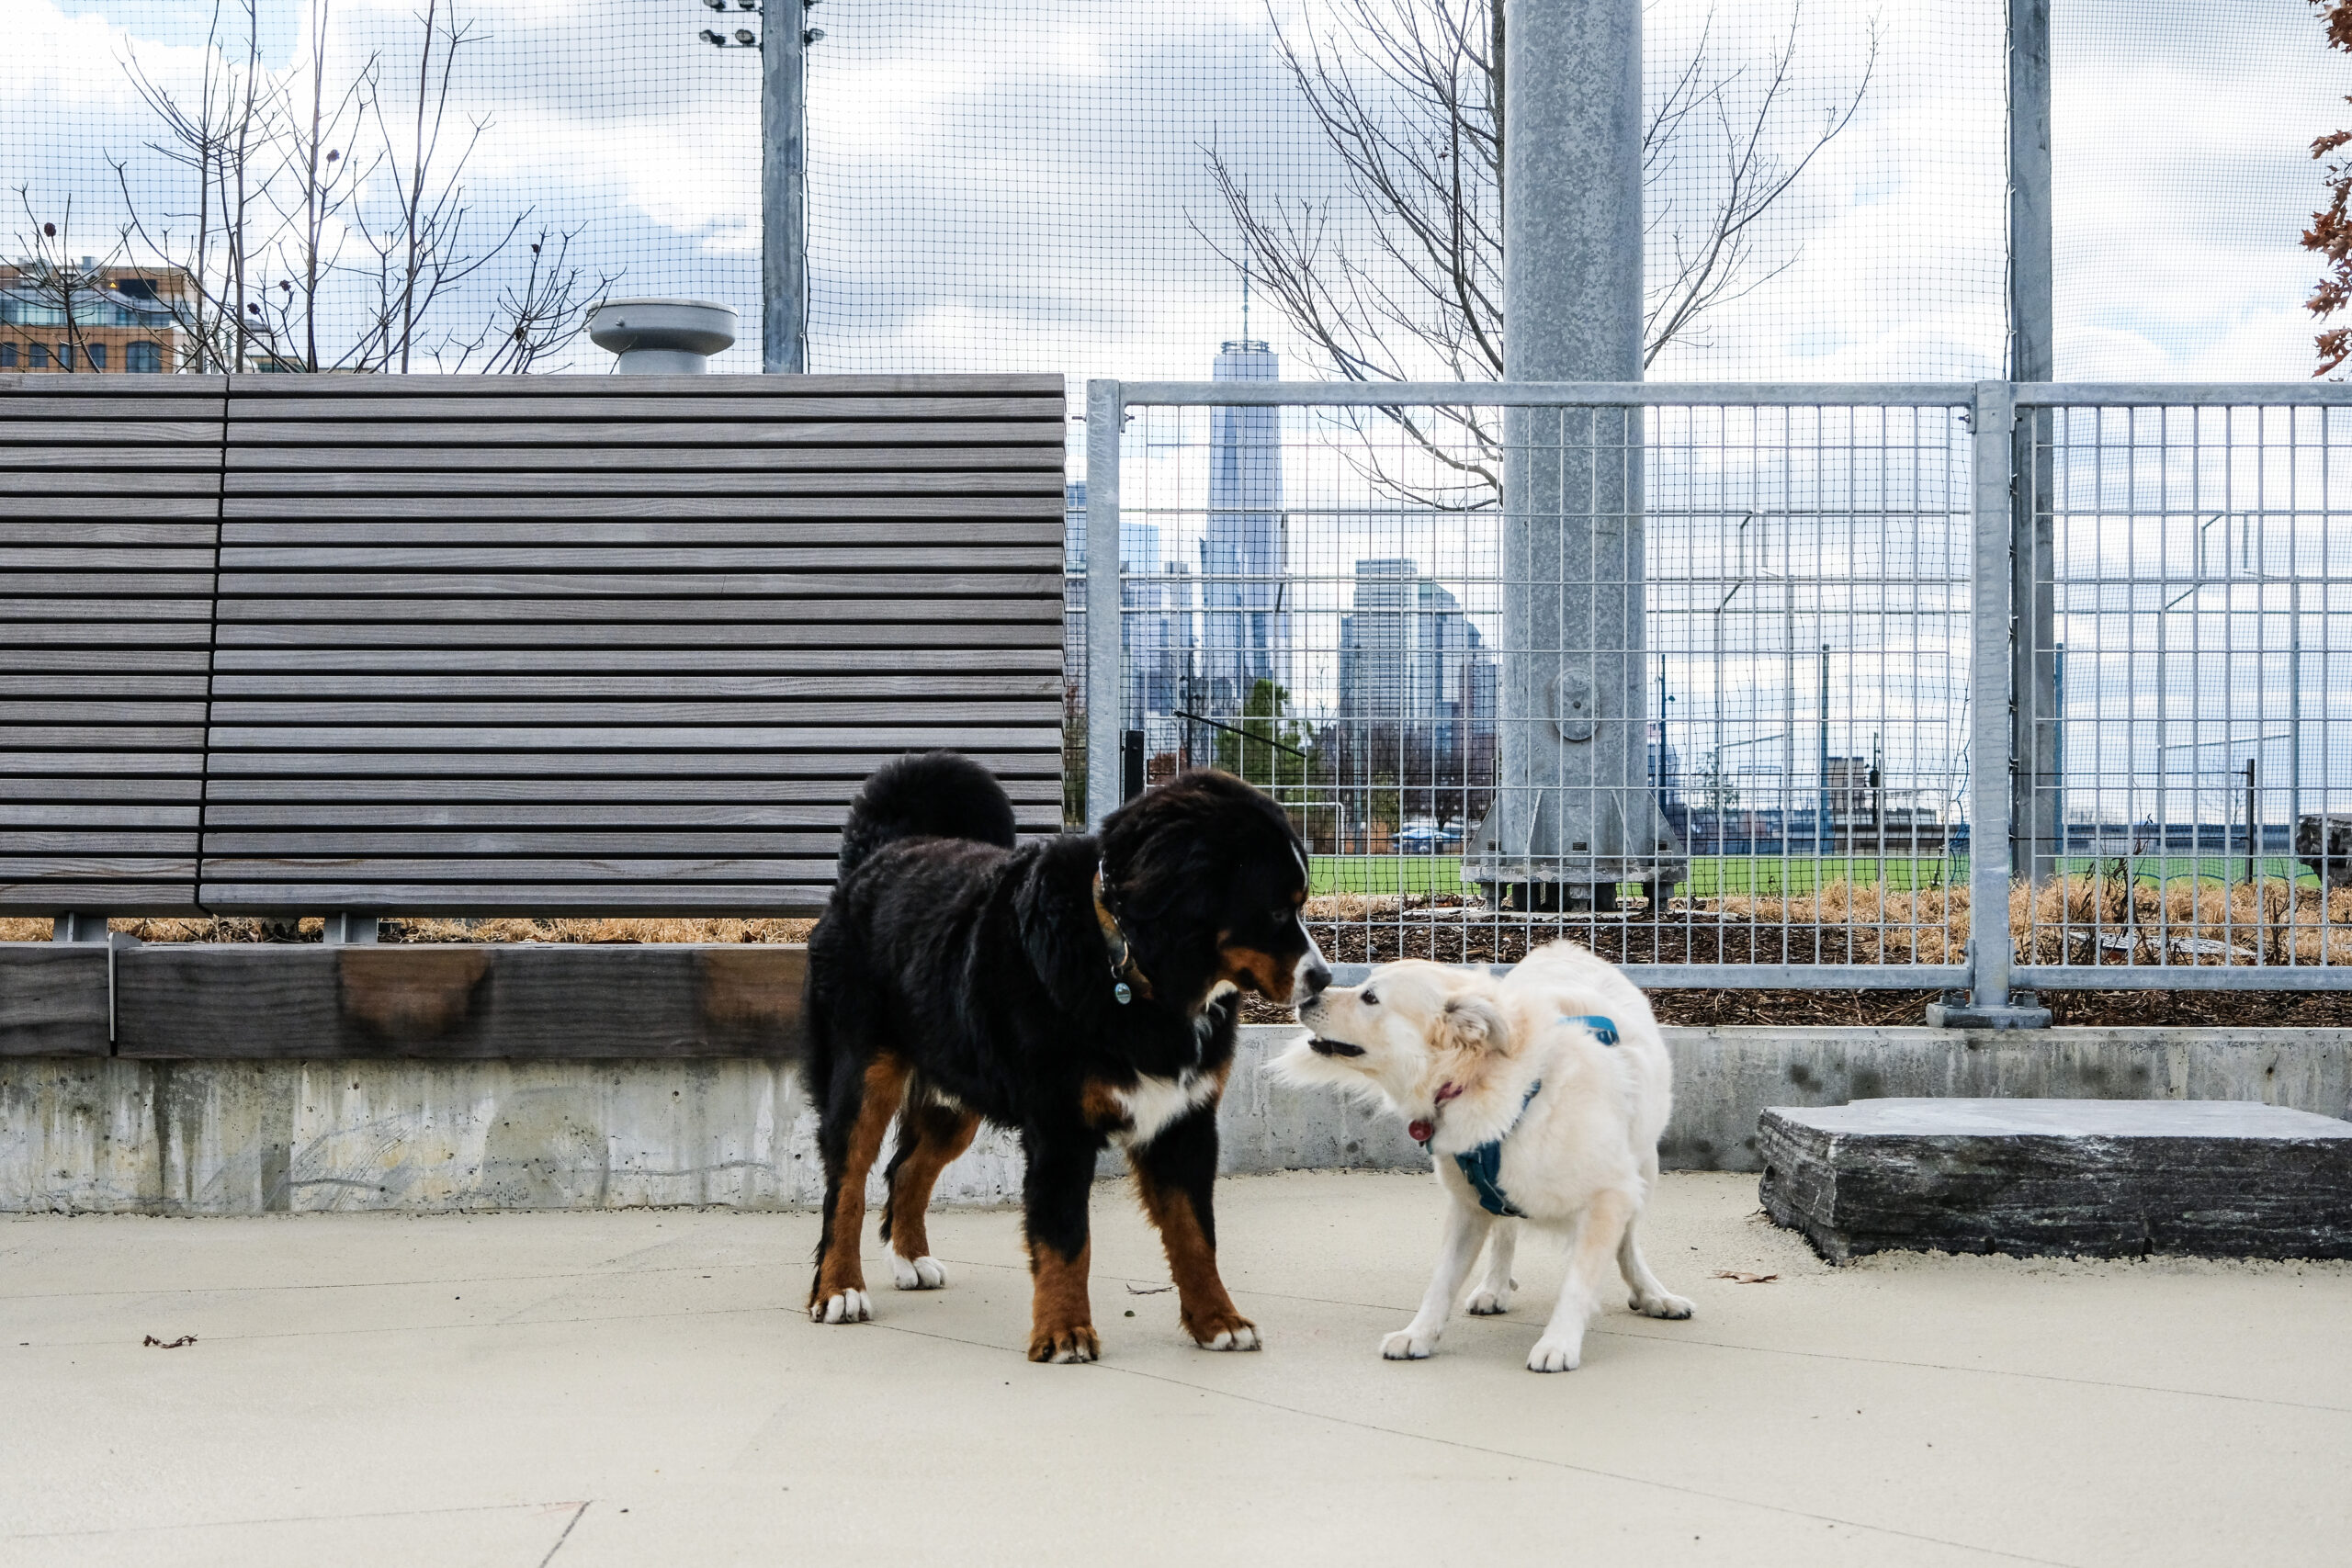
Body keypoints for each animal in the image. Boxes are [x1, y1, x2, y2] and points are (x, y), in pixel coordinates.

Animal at [804, 751, 1326, 1363]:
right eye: (1276, 911)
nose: (1323, 978)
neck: (1126, 970)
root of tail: (878, 856)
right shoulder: (1061, 1128)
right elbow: (1066, 1237)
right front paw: (1064, 1331)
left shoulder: (1184, 1121)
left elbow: (1197, 1236)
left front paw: (1218, 1320)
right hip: (863, 1078)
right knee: (847, 1186)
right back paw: (839, 1289)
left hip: (957, 1096)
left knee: (906, 1169)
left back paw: (910, 1259)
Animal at [1279, 944, 1683, 1372]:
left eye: (1370, 997)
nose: (1305, 998)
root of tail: (1562, 947)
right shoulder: (1468, 1206)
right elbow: (1441, 1283)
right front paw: (1418, 1336)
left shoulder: (1611, 1196)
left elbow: (1578, 1283)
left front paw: (1559, 1343)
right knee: (1504, 1234)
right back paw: (1494, 1288)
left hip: (1645, 1170)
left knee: (1628, 1243)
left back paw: (1653, 1295)